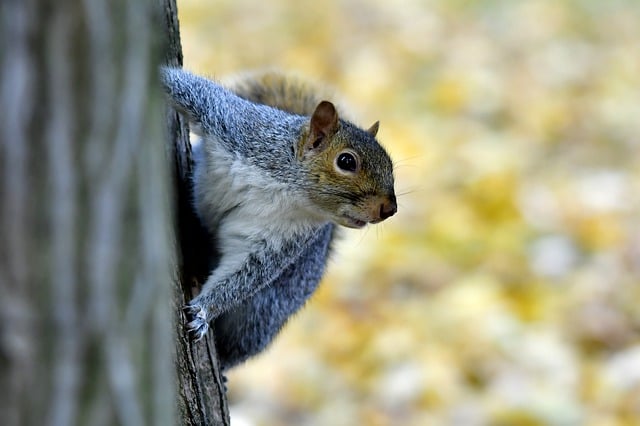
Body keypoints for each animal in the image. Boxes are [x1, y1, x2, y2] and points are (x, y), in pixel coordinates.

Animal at [160, 66, 396, 370]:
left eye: (390, 166)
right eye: (346, 161)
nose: (390, 209)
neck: (288, 190)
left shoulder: (280, 240)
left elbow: (245, 274)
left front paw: (203, 311)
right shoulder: (235, 125)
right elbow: (189, 89)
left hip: (263, 312)